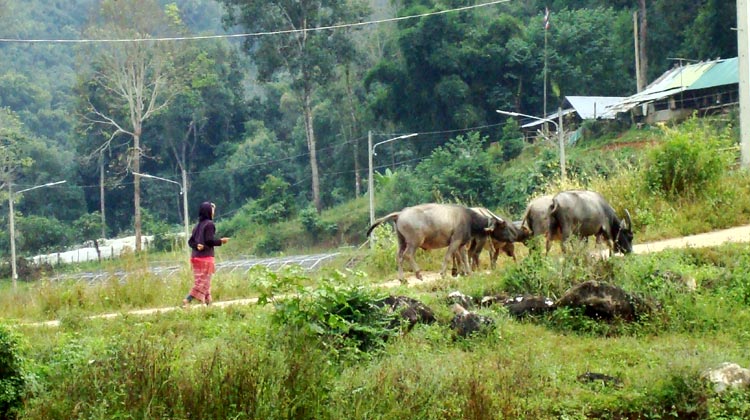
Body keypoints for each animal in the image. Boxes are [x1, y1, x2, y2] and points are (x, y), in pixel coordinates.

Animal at [368, 203, 500, 282]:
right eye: (500, 227)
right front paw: (443, 273)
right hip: (414, 241)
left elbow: (464, 258)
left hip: (402, 241)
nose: (494, 247)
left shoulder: (461, 244)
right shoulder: (455, 241)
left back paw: (402, 279)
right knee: (408, 255)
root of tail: (400, 214)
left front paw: (469, 273)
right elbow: (448, 257)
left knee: (399, 256)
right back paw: (418, 274)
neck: (468, 218)